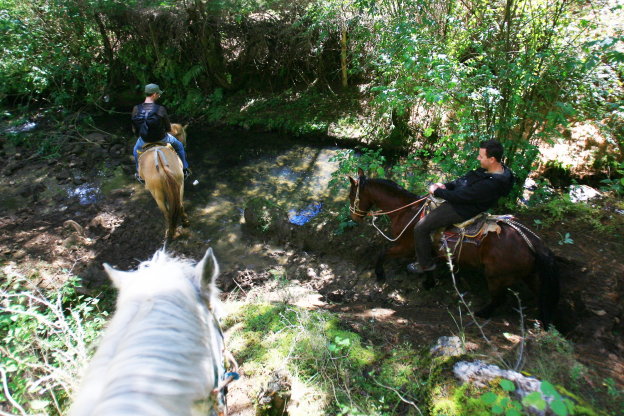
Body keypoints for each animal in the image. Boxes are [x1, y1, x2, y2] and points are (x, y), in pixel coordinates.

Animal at [348, 167, 560, 326]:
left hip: (496, 276)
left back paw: (481, 313)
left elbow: (383, 252)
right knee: (541, 296)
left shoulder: (405, 245)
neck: (407, 211)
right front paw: (429, 282)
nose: (354, 217)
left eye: (351, 195)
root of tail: (530, 241)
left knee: (499, 299)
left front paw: (379, 274)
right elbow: (428, 265)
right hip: (531, 276)